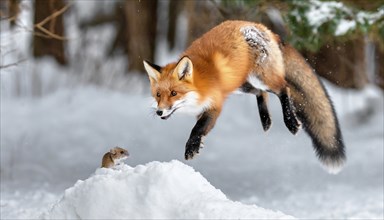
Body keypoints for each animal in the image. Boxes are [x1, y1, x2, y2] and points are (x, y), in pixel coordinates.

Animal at [143, 19, 344, 174]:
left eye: (174, 93)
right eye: (158, 95)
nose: (159, 112)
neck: (200, 86)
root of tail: (264, 28)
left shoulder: (215, 105)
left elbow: (197, 128)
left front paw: (191, 147)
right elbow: (200, 128)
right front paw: (196, 145)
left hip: (261, 78)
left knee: (284, 88)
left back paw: (291, 122)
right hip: (241, 84)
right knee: (261, 93)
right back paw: (265, 120)